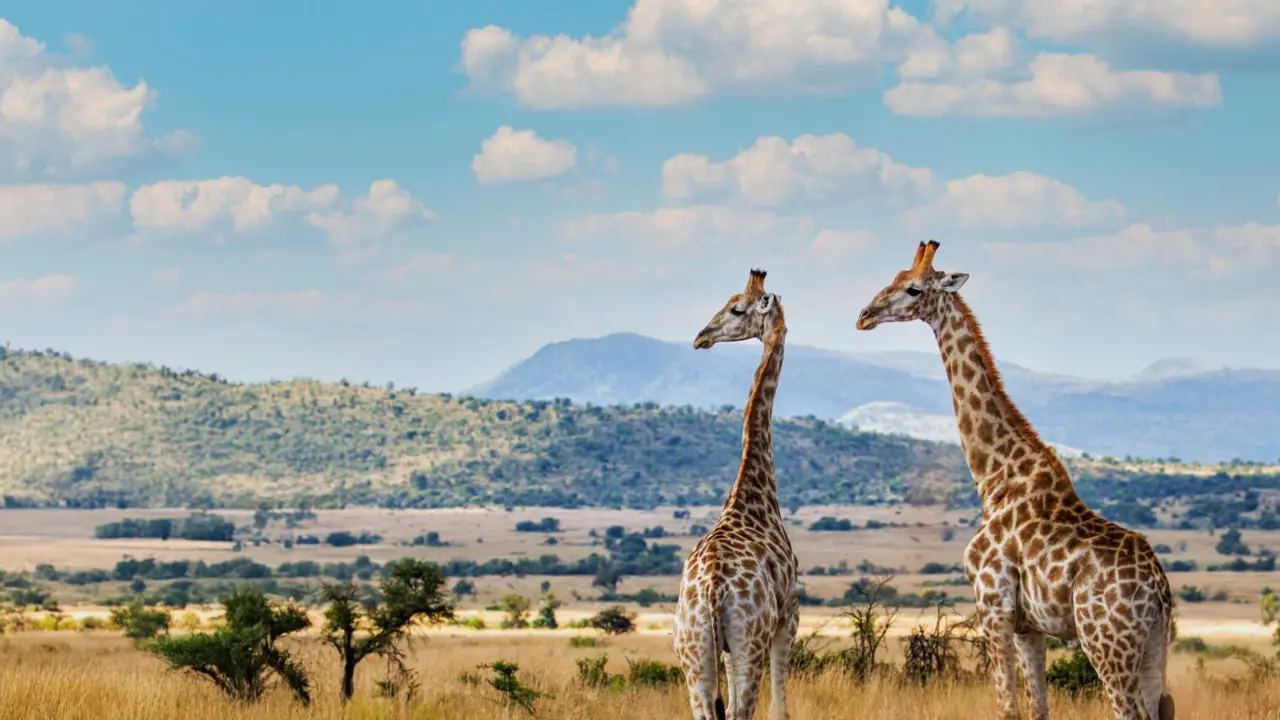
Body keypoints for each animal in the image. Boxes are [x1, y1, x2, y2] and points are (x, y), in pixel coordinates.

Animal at [673, 268, 800, 720]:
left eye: (737, 309)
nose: (701, 336)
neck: (752, 489)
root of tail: (712, 588)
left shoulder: (726, 649)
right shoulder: (789, 615)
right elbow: (780, 708)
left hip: (694, 652)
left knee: (709, 710)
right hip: (750, 644)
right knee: (740, 711)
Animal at [854, 241, 1175, 720]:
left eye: (914, 289)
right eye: (894, 277)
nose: (865, 315)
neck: (995, 478)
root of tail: (1158, 586)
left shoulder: (993, 606)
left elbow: (1008, 707)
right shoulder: (1029, 626)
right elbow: (1038, 708)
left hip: (1107, 643)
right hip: (1154, 645)